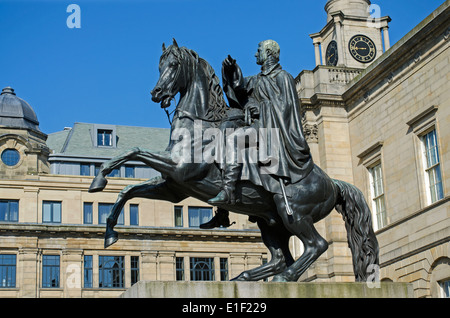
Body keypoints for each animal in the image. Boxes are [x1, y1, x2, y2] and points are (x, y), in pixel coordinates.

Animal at [87, 39, 376, 280]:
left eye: (174, 65)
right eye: (159, 65)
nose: (156, 93)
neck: (199, 124)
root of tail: (333, 183)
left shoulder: (180, 169)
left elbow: (133, 151)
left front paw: (100, 176)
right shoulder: (173, 188)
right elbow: (127, 190)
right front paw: (109, 230)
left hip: (295, 213)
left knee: (316, 245)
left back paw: (284, 277)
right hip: (271, 222)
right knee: (281, 257)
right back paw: (245, 276)